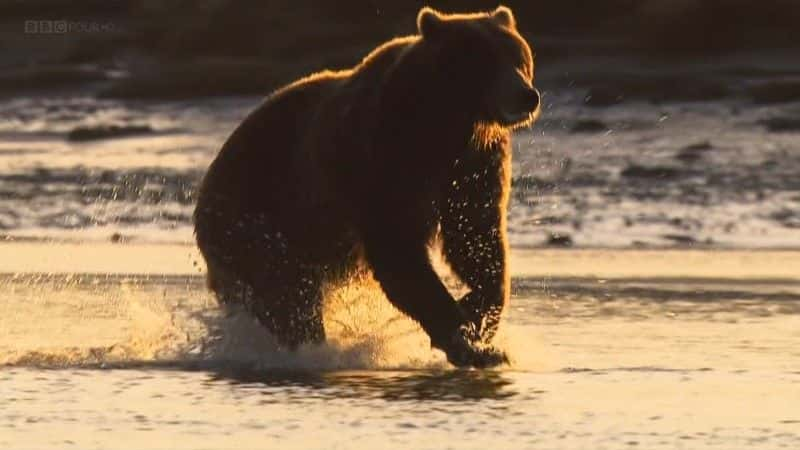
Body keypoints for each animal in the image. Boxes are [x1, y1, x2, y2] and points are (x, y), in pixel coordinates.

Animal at [195, 5, 540, 368]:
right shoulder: (382, 156)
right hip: (257, 217)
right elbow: (397, 245)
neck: (445, 123)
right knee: (285, 292)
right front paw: (468, 342)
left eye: (519, 57)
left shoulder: (473, 163)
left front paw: (477, 316)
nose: (526, 95)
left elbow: (475, 236)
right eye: (485, 60)